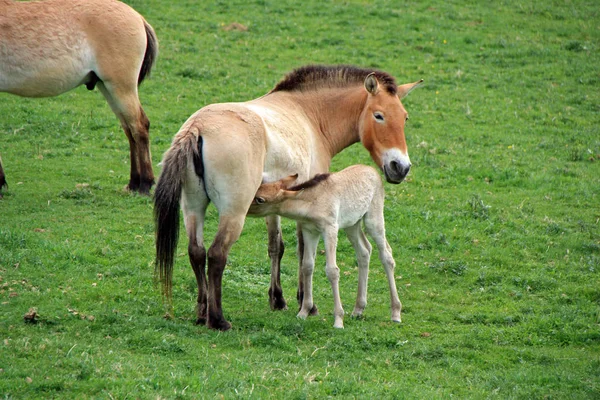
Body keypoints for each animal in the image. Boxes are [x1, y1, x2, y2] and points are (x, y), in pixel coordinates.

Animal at [0, 0, 158, 195]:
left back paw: (145, 184)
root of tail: (138, 18)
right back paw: (133, 183)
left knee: (139, 127)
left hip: (121, 87)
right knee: (129, 130)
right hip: (107, 87)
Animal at [248, 165, 404, 328]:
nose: (244, 208)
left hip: (373, 219)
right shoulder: (309, 230)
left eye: (260, 199)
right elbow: (307, 266)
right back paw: (358, 309)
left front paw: (338, 320)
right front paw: (304, 311)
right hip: (352, 224)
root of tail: (375, 171)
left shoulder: (330, 229)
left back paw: (396, 313)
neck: (311, 204)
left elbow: (332, 270)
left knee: (386, 255)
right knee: (364, 251)